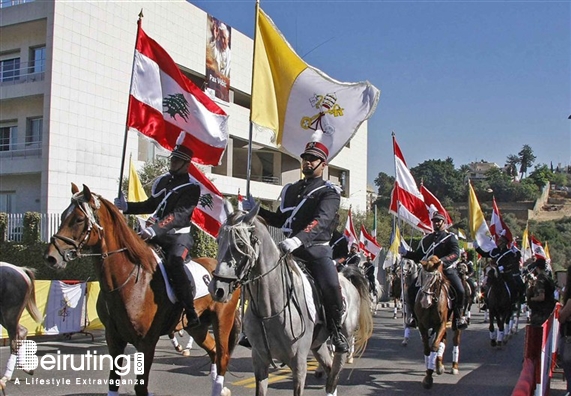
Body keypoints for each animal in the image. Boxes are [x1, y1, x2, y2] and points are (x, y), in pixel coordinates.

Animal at [0, 262, 43, 394]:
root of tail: (21, 270)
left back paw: (5, 378)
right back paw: (25, 367)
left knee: (14, 340)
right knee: (22, 332)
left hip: (10, 313)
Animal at [44, 183, 240, 396]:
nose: (51, 257)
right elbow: (113, 382)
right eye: (63, 215)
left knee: (222, 356)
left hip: (222, 321)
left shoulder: (146, 342)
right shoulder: (114, 338)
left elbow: (141, 387)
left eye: (79, 219)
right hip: (197, 327)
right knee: (213, 351)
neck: (129, 280)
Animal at [210, 201, 376, 396]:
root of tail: (346, 278)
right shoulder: (259, 360)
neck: (270, 309)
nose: (217, 289)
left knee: (333, 377)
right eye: (218, 240)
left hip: (342, 341)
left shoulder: (298, 365)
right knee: (328, 372)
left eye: (240, 245)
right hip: (318, 345)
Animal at [416, 255, 464, 388]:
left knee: (455, 340)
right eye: (422, 276)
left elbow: (434, 347)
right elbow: (427, 349)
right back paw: (439, 365)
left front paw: (428, 377)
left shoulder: (441, 324)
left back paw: (453, 367)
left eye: (435, 279)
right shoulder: (422, 325)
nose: (424, 302)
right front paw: (430, 370)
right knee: (443, 340)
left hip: (454, 325)